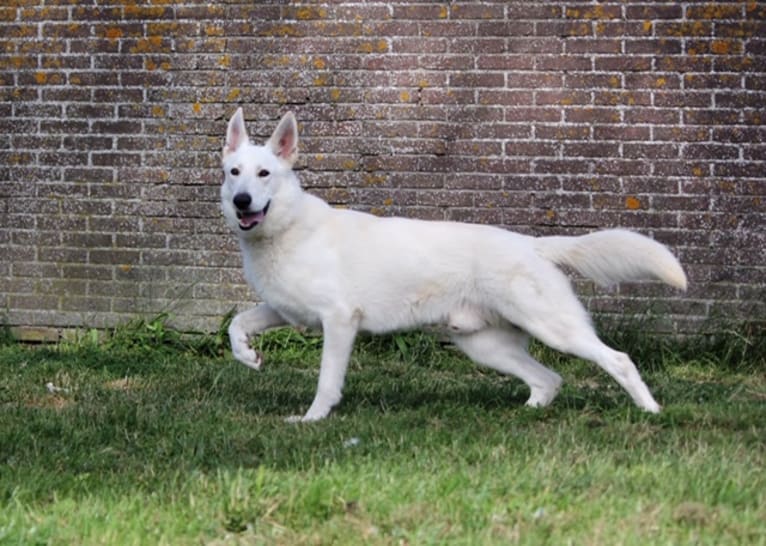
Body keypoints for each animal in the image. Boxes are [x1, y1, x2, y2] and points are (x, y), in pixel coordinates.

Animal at [219, 107, 688, 420]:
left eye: (264, 174)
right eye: (234, 172)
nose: (241, 201)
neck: (286, 228)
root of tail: (534, 245)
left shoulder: (339, 321)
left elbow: (326, 381)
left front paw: (313, 419)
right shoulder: (283, 311)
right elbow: (236, 325)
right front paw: (249, 357)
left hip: (555, 329)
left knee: (618, 360)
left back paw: (651, 411)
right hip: (487, 347)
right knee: (548, 380)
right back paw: (528, 414)